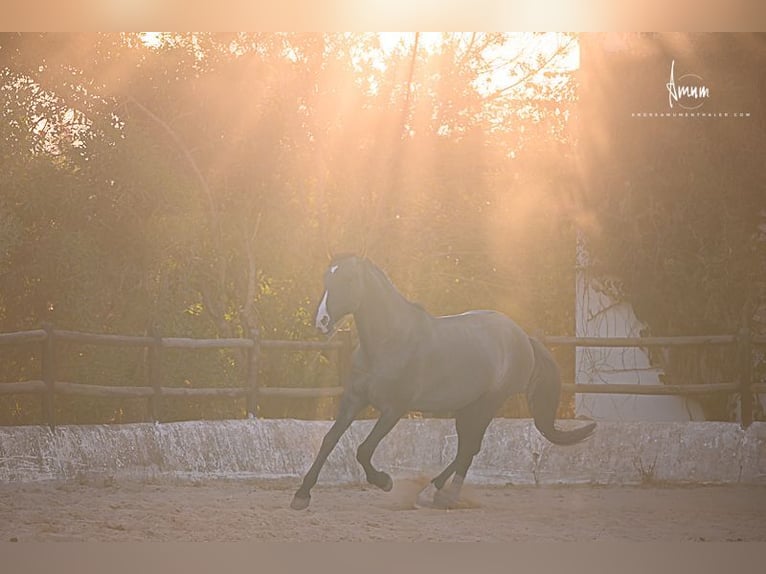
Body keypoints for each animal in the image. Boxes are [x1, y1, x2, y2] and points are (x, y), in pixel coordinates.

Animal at [290, 254, 595, 510]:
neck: (388, 342)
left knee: (470, 447)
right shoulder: (354, 400)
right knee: (466, 446)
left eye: (349, 280)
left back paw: (445, 496)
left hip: (489, 403)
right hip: (466, 407)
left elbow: (364, 450)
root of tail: (523, 337)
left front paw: (385, 481)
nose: (322, 322)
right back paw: (432, 491)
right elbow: (329, 440)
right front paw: (301, 495)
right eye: (326, 279)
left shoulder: (394, 409)